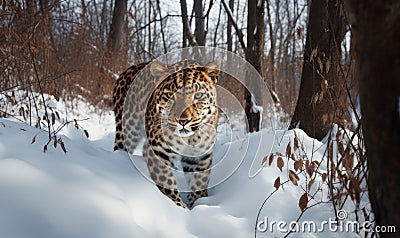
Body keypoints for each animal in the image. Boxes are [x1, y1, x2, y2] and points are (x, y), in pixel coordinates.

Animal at [111, 60, 220, 208]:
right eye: (170, 95)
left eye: (198, 95)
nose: (183, 121)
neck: (189, 138)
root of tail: (126, 71)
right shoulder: (159, 152)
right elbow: (167, 185)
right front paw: (179, 208)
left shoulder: (199, 157)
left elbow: (199, 182)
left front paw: (199, 203)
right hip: (127, 130)